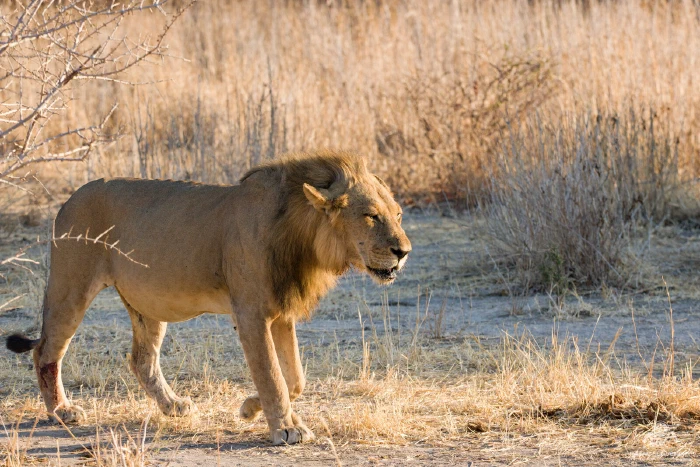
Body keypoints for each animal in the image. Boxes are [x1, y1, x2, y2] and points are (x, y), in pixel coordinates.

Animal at [6, 150, 411, 445]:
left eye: (399, 214)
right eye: (371, 216)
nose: (404, 251)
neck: (303, 239)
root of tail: (68, 199)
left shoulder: (282, 314)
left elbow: (294, 378)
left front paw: (250, 409)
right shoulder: (251, 314)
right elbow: (272, 375)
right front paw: (286, 429)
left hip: (148, 303)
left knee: (141, 360)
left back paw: (173, 406)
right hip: (71, 287)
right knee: (46, 352)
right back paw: (62, 411)